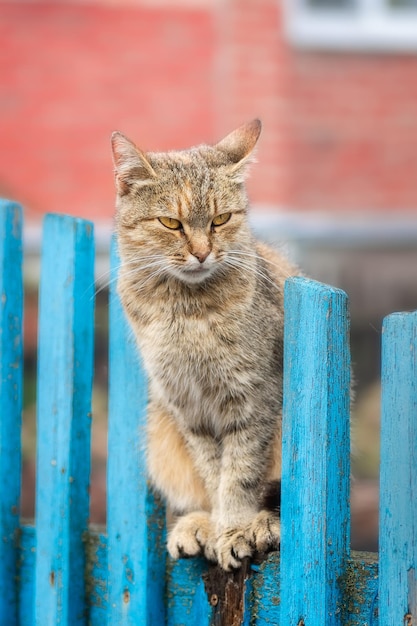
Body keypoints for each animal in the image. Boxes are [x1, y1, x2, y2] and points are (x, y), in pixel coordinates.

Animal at [110, 119, 300, 568]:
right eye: (170, 223)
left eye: (221, 219)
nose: (201, 253)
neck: (185, 311)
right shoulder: (188, 407)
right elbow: (215, 475)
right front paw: (217, 527)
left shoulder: (252, 400)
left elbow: (240, 475)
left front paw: (235, 528)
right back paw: (196, 524)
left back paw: (263, 524)